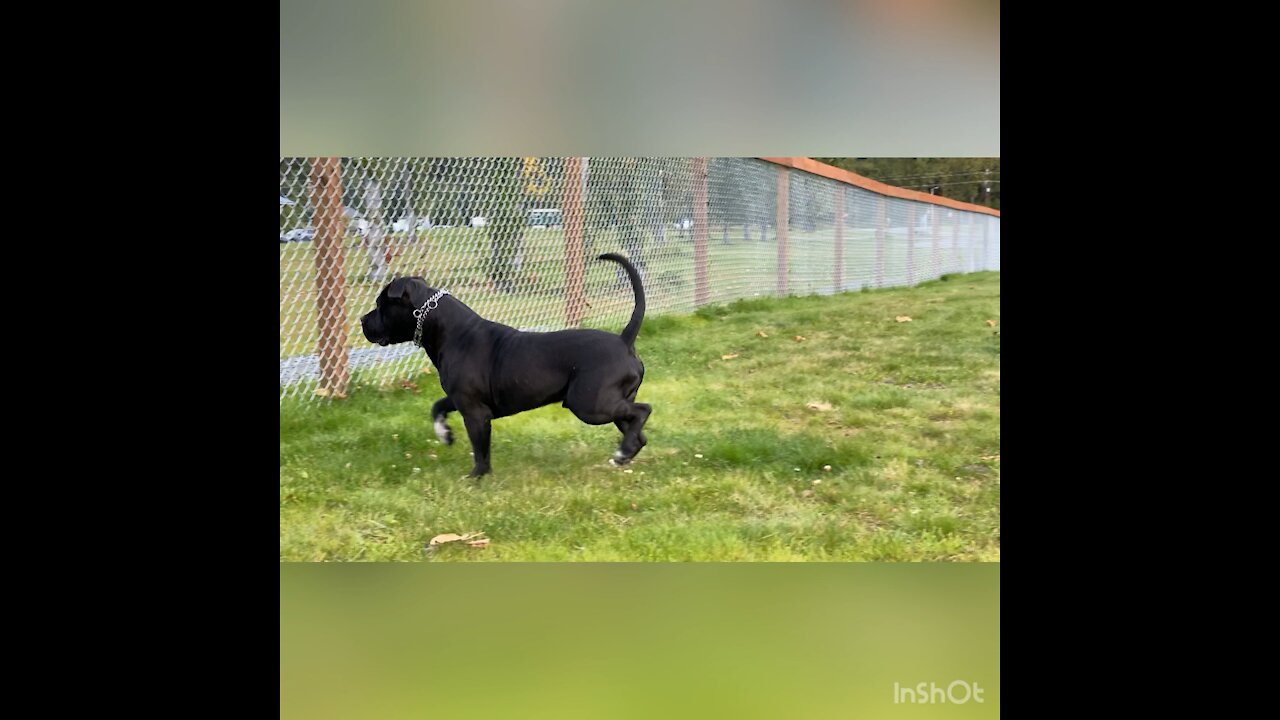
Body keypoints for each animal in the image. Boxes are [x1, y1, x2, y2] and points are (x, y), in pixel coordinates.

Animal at [360, 252, 650, 476]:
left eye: (380, 305)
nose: (362, 320)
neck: (449, 331)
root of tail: (624, 340)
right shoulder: (461, 399)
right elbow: (437, 406)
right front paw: (445, 434)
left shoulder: (475, 413)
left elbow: (480, 450)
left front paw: (476, 477)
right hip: (607, 402)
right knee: (638, 431)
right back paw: (624, 456)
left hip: (589, 404)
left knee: (643, 411)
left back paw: (622, 451)